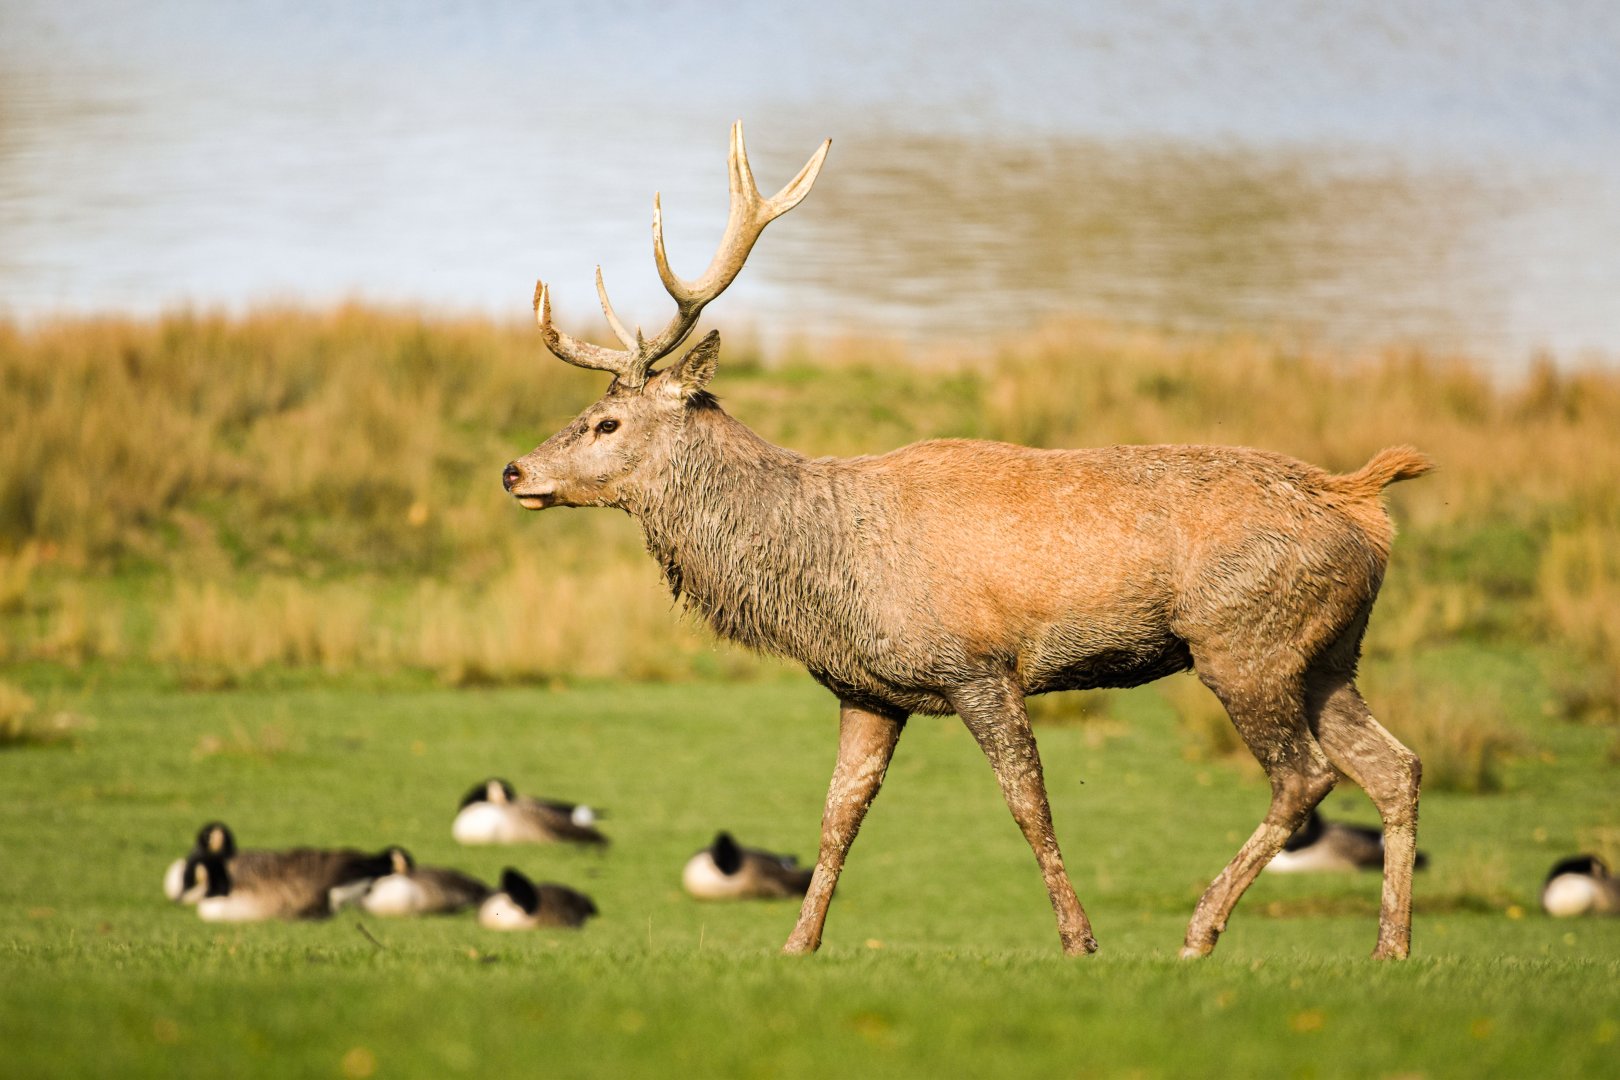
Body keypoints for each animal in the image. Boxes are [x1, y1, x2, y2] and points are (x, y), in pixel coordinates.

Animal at [502, 121, 1432, 960]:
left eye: (606, 423)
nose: (515, 470)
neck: (823, 572)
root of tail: (1359, 498)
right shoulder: (867, 689)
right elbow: (838, 815)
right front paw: (798, 943)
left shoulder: (977, 663)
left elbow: (1028, 803)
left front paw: (1079, 939)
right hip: (1327, 651)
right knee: (1395, 765)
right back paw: (1389, 947)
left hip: (1244, 640)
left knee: (1306, 774)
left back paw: (1202, 930)